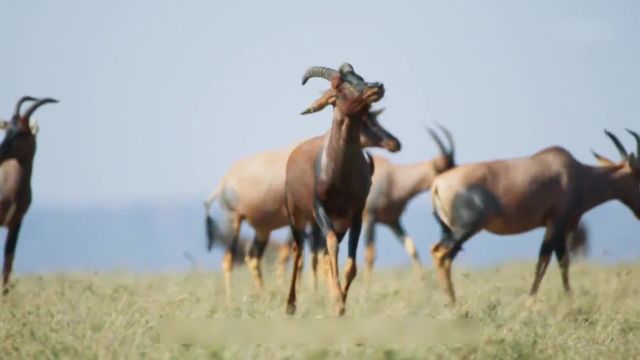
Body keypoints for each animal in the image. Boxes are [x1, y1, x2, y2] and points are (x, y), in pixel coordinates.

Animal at [204, 102, 400, 296]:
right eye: (366, 120)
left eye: (375, 118)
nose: (394, 143)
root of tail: (223, 183)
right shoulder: (309, 219)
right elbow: (312, 256)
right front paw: (315, 291)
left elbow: (315, 255)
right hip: (235, 220)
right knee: (229, 259)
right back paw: (231, 298)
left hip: (263, 229)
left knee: (253, 256)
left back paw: (262, 293)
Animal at [282, 63, 382, 316]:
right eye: (337, 85)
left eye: (359, 76)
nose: (376, 86)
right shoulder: (320, 211)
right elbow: (331, 247)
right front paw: (337, 302)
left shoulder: (356, 215)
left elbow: (350, 265)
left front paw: (340, 304)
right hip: (297, 216)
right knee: (298, 251)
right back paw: (290, 305)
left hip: (339, 223)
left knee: (326, 256)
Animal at [360, 125, 456, 280]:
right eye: (444, 168)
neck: (393, 178)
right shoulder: (370, 218)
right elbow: (370, 254)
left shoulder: (393, 221)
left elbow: (412, 248)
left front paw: (423, 282)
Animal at [430, 129, 640, 304]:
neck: (574, 173)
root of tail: (438, 183)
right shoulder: (555, 223)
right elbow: (543, 261)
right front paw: (530, 302)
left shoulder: (560, 228)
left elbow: (563, 261)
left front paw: (569, 299)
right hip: (466, 228)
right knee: (441, 253)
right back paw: (453, 304)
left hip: (449, 230)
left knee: (441, 255)